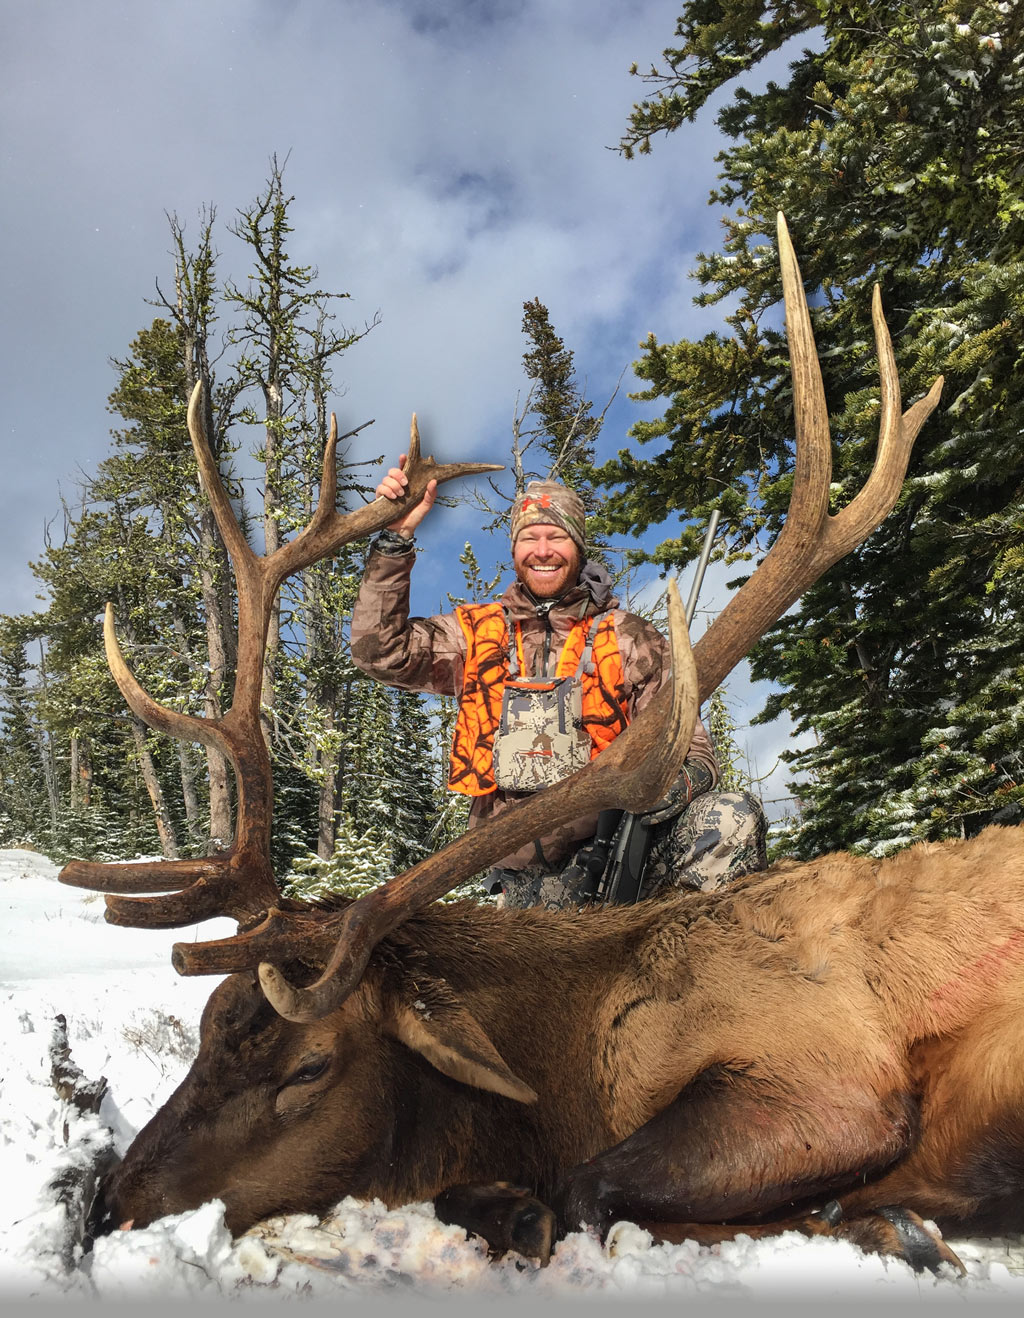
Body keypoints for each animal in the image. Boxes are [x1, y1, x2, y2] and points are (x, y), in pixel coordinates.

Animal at [57, 218, 1006, 1275]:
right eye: (206, 1030)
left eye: (309, 1067)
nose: (109, 1203)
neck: (565, 1071)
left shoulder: (827, 1077)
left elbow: (594, 1190)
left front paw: (893, 1227)